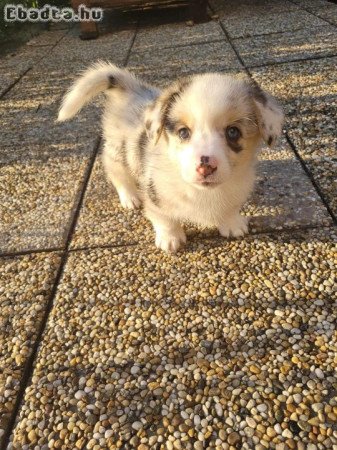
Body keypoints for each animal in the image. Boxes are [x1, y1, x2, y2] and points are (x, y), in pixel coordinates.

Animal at [58, 62, 284, 253]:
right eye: (183, 132)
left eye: (233, 132)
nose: (205, 167)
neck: (202, 192)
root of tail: (132, 90)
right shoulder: (155, 194)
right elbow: (164, 219)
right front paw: (170, 239)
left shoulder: (237, 190)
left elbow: (230, 208)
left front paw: (233, 225)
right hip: (118, 154)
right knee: (117, 174)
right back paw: (129, 197)